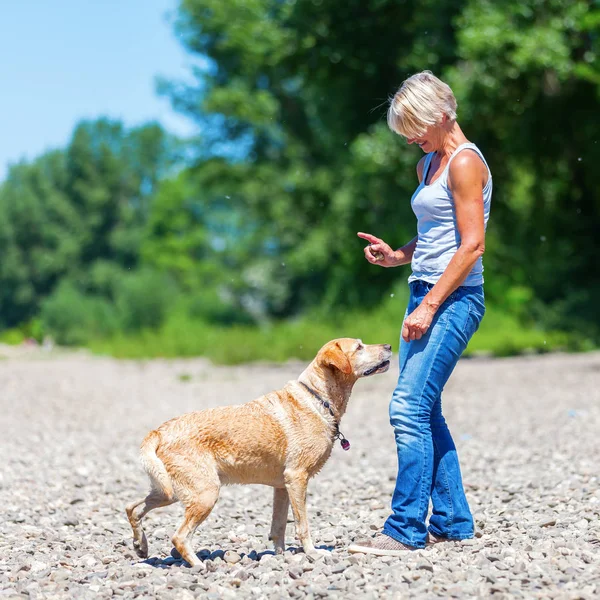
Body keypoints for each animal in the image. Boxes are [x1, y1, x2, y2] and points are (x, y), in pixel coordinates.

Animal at [124, 340, 392, 564]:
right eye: (359, 347)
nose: (389, 346)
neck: (319, 398)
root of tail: (159, 431)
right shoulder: (297, 477)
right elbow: (302, 525)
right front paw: (312, 553)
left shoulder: (282, 486)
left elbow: (279, 526)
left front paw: (281, 556)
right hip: (204, 493)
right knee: (178, 537)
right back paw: (199, 566)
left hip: (170, 490)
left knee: (132, 507)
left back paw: (141, 546)